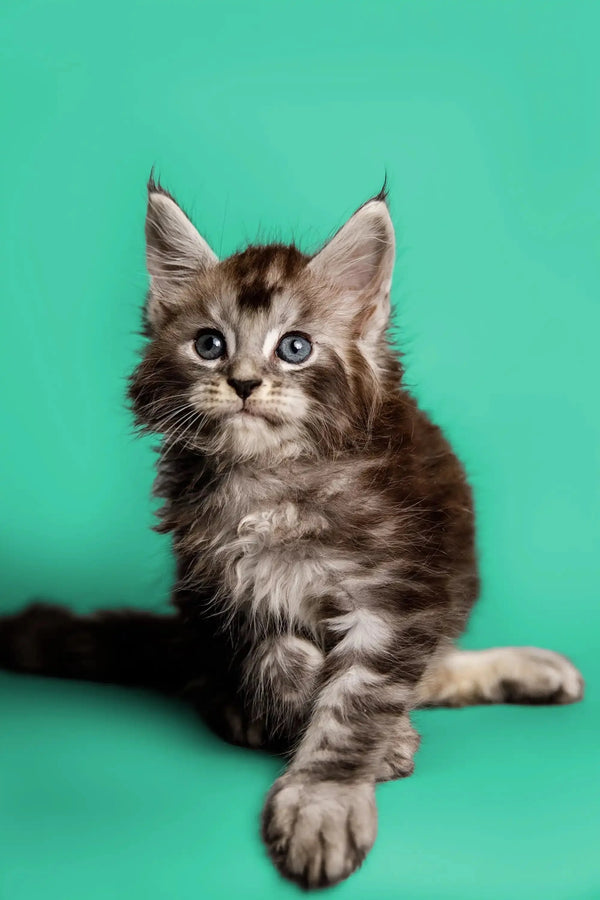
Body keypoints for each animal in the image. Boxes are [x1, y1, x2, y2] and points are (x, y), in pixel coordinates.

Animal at [0, 179, 580, 888]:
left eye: (294, 347)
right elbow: (287, 674)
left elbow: (356, 700)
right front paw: (350, 742)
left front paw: (325, 798)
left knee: (433, 670)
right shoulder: (231, 587)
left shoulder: (397, 593)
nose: (244, 382)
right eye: (210, 344)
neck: (273, 481)